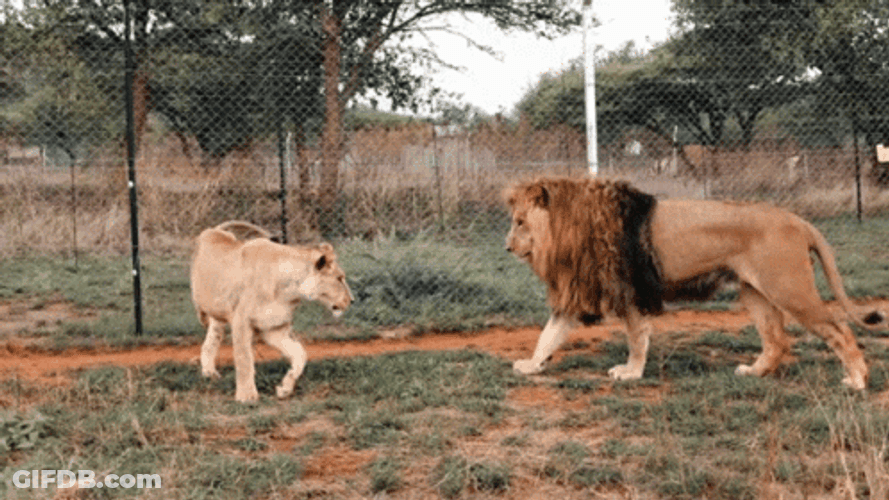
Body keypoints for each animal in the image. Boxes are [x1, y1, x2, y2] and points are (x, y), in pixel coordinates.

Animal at [191, 220, 353, 402]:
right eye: (339, 278)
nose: (352, 300)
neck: (291, 291)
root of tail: (213, 230)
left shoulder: (274, 328)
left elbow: (300, 354)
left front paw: (285, 389)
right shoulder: (241, 321)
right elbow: (244, 359)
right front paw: (246, 396)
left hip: (219, 316)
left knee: (211, 340)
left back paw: (209, 373)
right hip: (205, 305)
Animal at [505, 176, 885, 390]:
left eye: (520, 222)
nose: (506, 247)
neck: (565, 231)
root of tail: (798, 219)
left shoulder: (630, 290)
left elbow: (636, 340)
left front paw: (630, 373)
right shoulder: (579, 292)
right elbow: (548, 334)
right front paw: (532, 365)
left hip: (790, 288)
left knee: (839, 330)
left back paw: (857, 381)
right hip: (755, 292)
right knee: (777, 340)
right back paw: (754, 372)